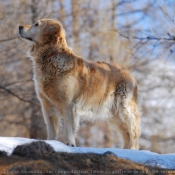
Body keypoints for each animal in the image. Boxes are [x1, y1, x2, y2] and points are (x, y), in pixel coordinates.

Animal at [18, 18, 140, 149]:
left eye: (36, 24)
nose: (19, 26)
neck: (50, 57)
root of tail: (128, 72)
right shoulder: (46, 104)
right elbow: (51, 129)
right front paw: (49, 142)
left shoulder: (69, 104)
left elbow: (68, 128)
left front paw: (70, 144)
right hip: (113, 115)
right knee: (126, 134)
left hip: (125, 109)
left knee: (133, 133)